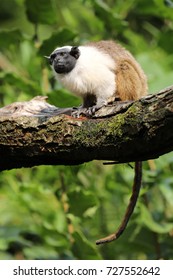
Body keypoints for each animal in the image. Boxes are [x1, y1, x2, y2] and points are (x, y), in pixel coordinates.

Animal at [45, 40, 147, 244]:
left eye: (63, 55)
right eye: (54, 57)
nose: (58, 61)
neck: (74, 69)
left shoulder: (92, 71)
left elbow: (106, 84)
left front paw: (99, 105)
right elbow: (86, 95)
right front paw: (83, 108)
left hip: (135, 88)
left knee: (123, 67)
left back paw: (119, 99)